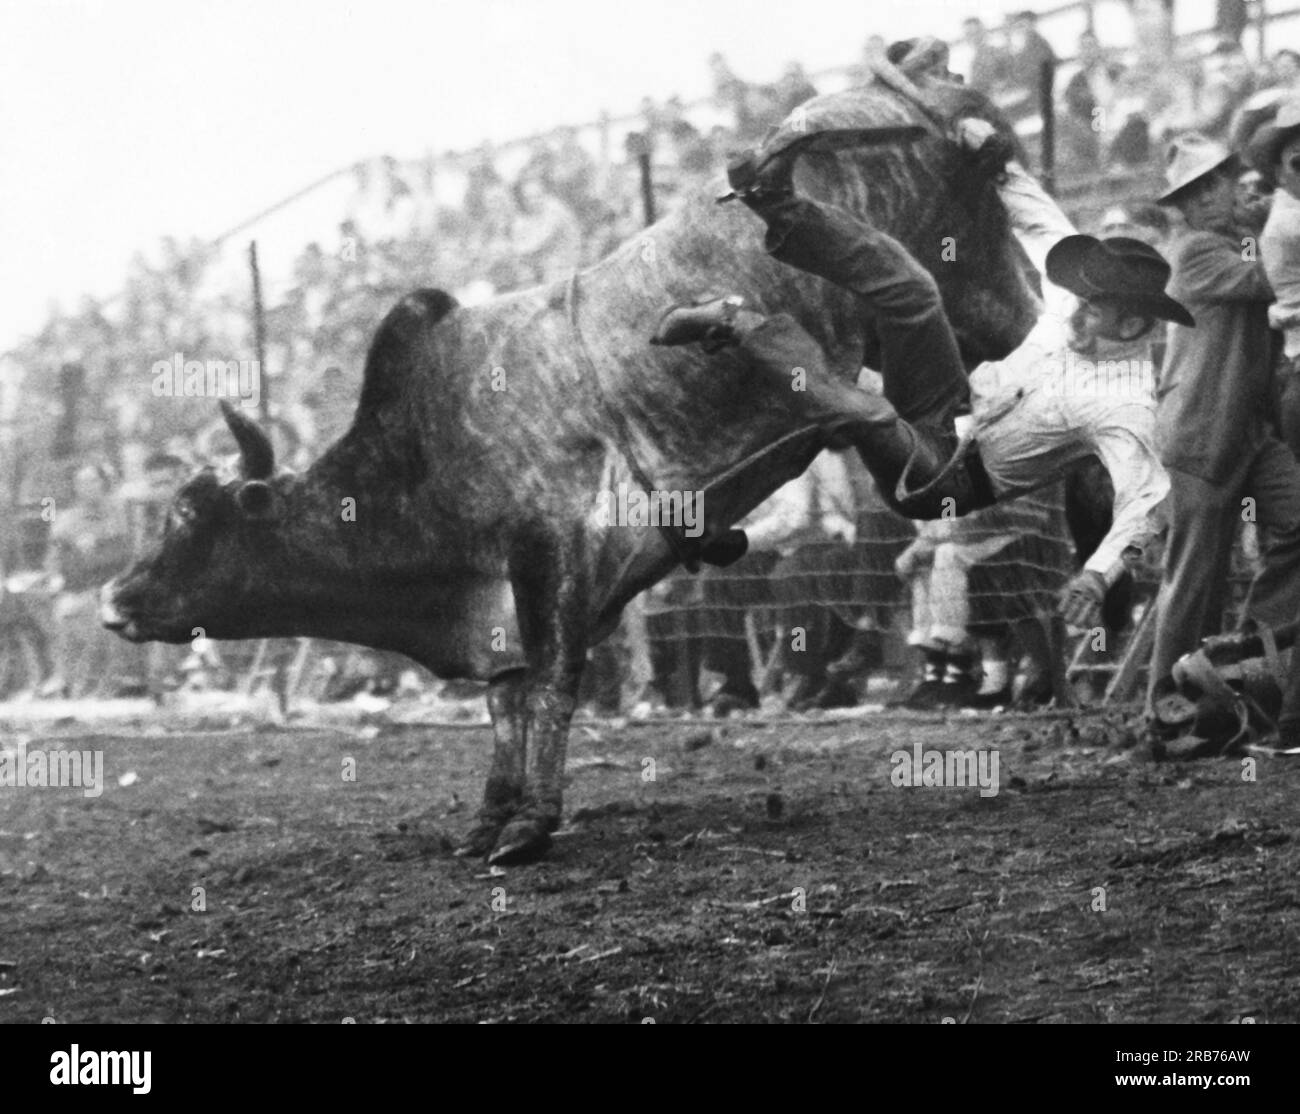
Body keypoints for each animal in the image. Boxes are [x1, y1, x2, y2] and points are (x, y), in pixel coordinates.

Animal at [101, 56, 1040, 863]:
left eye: (190, 519)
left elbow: (551, 683)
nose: (114, 598)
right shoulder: (505, 602)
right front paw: (491, 816)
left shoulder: (550, 551)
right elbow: (506, 702)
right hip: (970, 317)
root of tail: (930, 90)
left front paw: (530, 826)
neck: (422, 453)